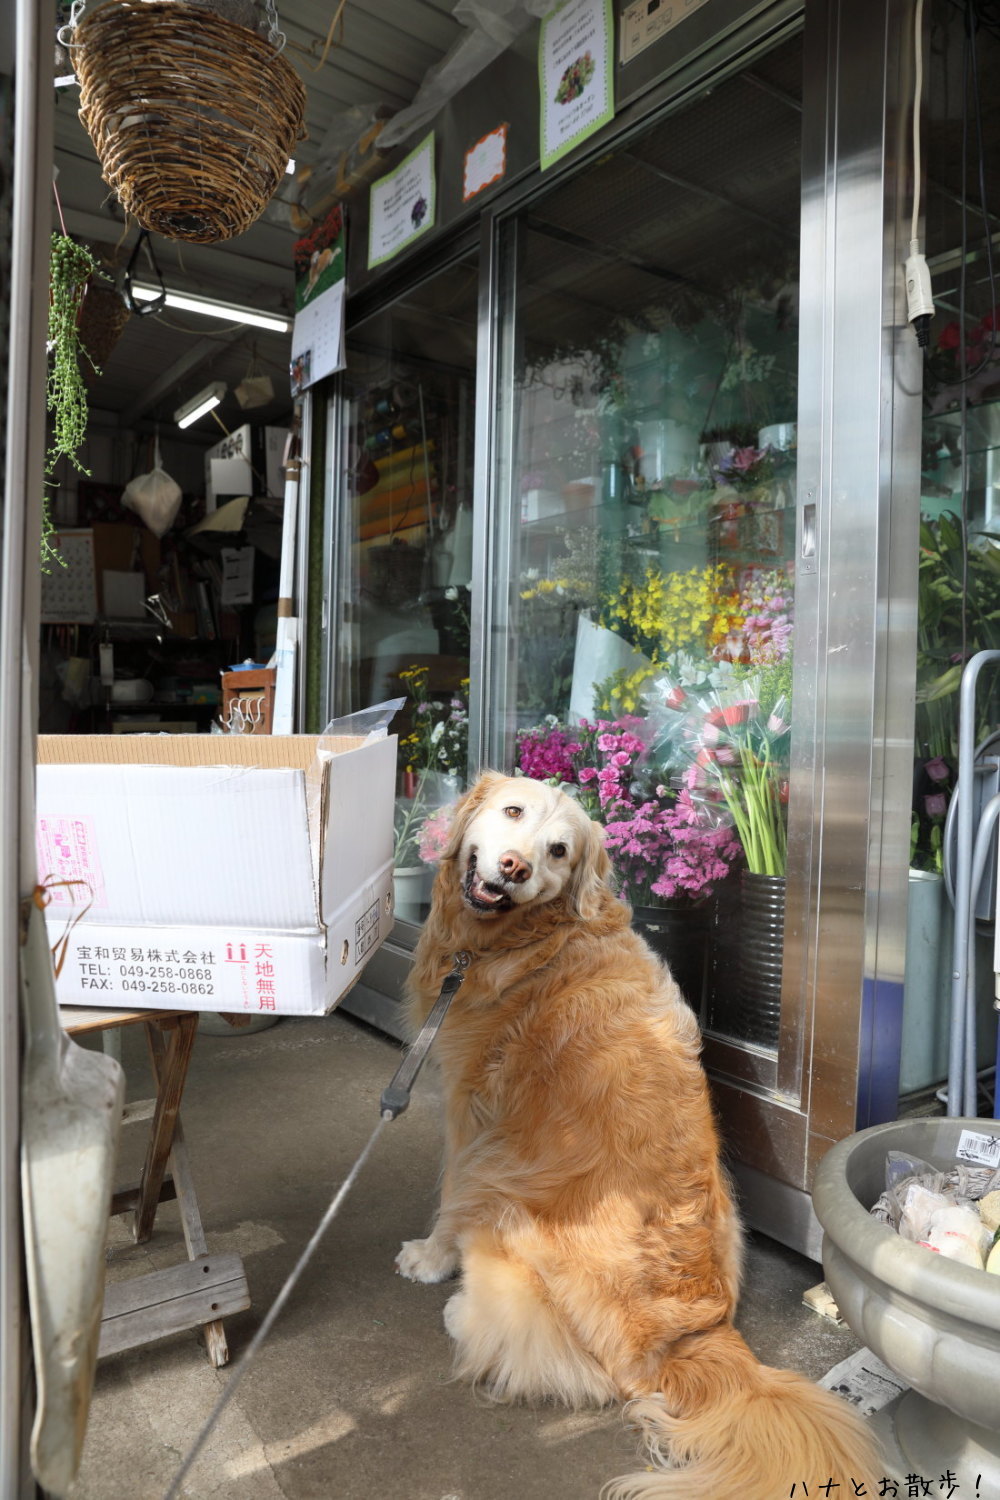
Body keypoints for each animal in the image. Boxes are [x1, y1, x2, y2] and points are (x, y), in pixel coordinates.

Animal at [395, 774, 881, 1500]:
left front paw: (428, 1258)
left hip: (510, 1227)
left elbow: (451, 1194)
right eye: (512, 811)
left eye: (559, 851)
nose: (514, 867)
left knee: (571, 1367)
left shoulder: (473, 1114)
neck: (534, 939)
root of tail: (699, 1334)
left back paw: (462, 1313)